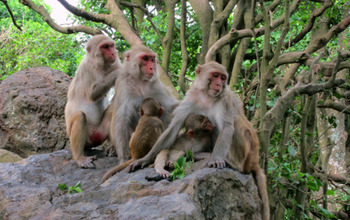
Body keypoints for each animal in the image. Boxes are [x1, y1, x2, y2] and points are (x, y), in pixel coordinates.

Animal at [64, 34, 121, 168]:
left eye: (111, 45)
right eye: (105, 47)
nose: (113, 53)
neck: (101, 65)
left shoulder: (115, 62)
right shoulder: (87, 68)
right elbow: (92, 94)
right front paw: (118, 73)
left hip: (100, 133)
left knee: (114, 111)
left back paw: (113, 147)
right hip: (84, 138)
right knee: (80, 116)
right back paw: (79, 158)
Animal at [130, 61, 270, 220]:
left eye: (223, 78)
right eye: (215, 75)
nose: (219, 84)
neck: (207, 95)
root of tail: (255, 160)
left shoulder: (225, 99)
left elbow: (227, 127)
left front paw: (216, 159)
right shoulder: (191, 97)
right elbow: (174, 127)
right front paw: (145, 159)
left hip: (246, 153)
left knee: (236, 124)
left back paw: (232, 163)